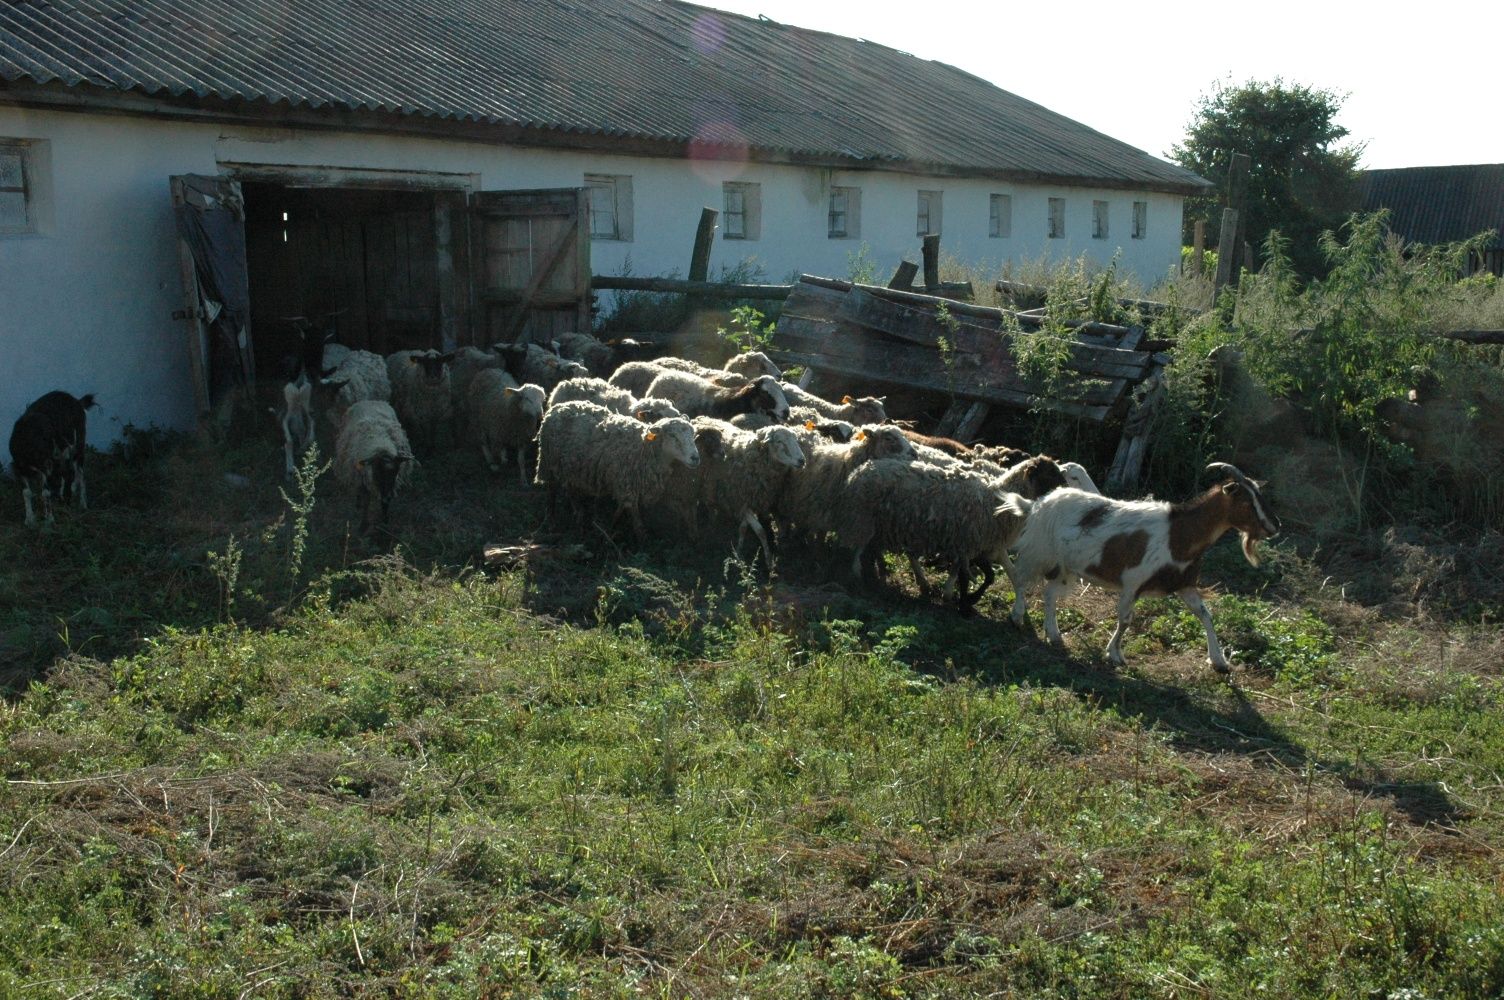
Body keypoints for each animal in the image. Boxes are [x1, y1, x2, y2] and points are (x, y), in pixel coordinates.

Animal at [8, 390, 97, 529]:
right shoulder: (20, 467)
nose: (67, 501)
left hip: (79, 444)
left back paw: (83, 504)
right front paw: (29, 519)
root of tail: (77, 401)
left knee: (81, 473)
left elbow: (45, 492)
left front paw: (49, 520)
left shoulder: (45, 467)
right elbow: (26, 492)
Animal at [335, 396, 415, 535]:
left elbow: (385, 503)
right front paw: (363, 526)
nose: (388, 495)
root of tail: (369, 400)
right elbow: (367, 502)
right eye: (377, 472)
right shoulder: (364, 479)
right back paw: (358, 503)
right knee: (358, 491)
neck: (381, 446)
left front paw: (385, 520)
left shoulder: (391, 485)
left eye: (396, 472)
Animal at [538, 396, 700, 538]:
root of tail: (557, 407)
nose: (695, 458)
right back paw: (551, 520)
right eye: (672, 435)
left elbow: (620, 508)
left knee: (571, 488)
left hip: (569, 465)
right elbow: (635, 518)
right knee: (551, 490)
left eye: (693, 434)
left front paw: (610, 526)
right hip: (548, 461)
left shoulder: (625, 483)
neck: (643, 448)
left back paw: (579, 515)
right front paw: (642, 539)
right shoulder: (627, 483)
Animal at [998, 463, 1281, 670]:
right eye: (1245, 502)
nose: (1273, 526)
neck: (1179, 535)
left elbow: (1205, 614)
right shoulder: (1133, 582)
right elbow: (1125, 620)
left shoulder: (1185, 584)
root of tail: (1036, 504)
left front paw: (1219, 661)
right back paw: (1017, 617)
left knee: (1049, 594)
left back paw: (1054, 634)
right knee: (1021, 580)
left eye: (1260, 495)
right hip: (1039, 551)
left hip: (1065, 566)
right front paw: (1115, 654)